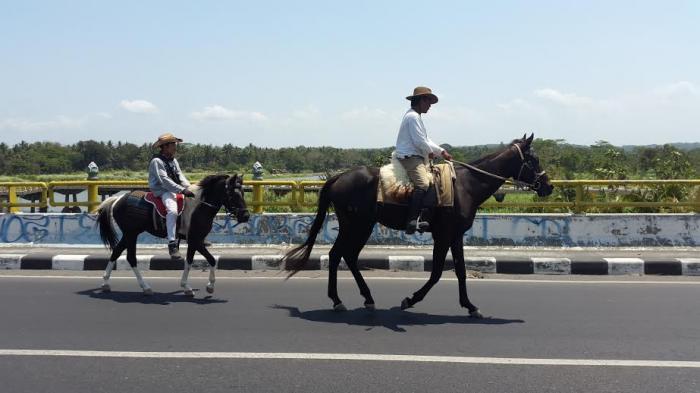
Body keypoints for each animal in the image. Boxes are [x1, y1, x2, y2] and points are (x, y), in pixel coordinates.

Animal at [97, 174, 250, 294]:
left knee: (116, 252)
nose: (246, 216)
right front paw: (209, 285)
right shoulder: (195, 240)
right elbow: (211, 260)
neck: (200, 206)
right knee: (131, 258)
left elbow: (190, 261)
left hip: (129, 234)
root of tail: (117, 199)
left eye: (243, 193)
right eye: (232, 194)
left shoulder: (194, 241)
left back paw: (106, 283)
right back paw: (145, 287)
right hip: (131, 234)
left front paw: (187, 286)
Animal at [284, 134, 552, 316]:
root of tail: (338, 177)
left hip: (362, 226)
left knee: (346, 256)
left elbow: (461, 271)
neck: (466, 185)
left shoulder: (455, 235)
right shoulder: (443, 235)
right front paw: (411, 300)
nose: (548, 186)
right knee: (337, 254)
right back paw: (338, 300)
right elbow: (436, 273)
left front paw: (469, 305)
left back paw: (365, 298)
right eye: (534, 159)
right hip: (356, 225)